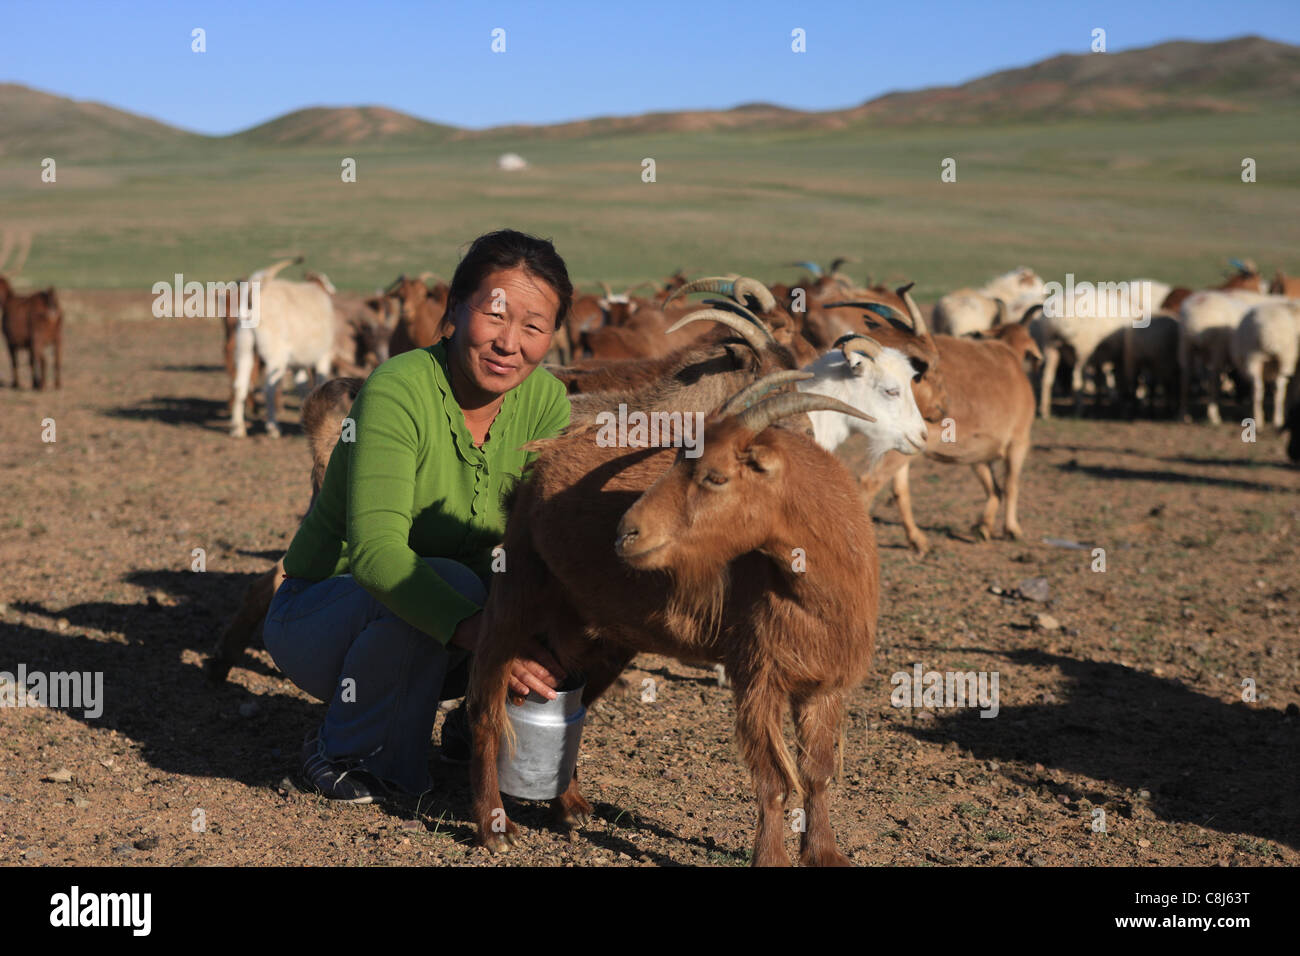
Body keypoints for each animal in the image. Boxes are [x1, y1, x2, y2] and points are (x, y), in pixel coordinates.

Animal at [230, 264, 340, 439]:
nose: (334, 291)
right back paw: (273, 427)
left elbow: (302, 387)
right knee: (269, 388)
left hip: (244, 346)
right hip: (274, 353)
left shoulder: (297, 363)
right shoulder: (324, 356)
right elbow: (319, 383)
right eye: (325, 280)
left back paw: (237, 428)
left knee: (240, 385)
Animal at [473, 382, 889, 868]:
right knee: (484, 709)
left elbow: (817, 773)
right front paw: (770, 858)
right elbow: (773, 780)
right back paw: (495, 828)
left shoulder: (824, 684)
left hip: (599, 632)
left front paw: (824, 853)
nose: (626, 534)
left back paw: (570, 805)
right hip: (514, 589)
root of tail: (541, 459)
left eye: (715, 477)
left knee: (575, 705)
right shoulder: (757, 675)